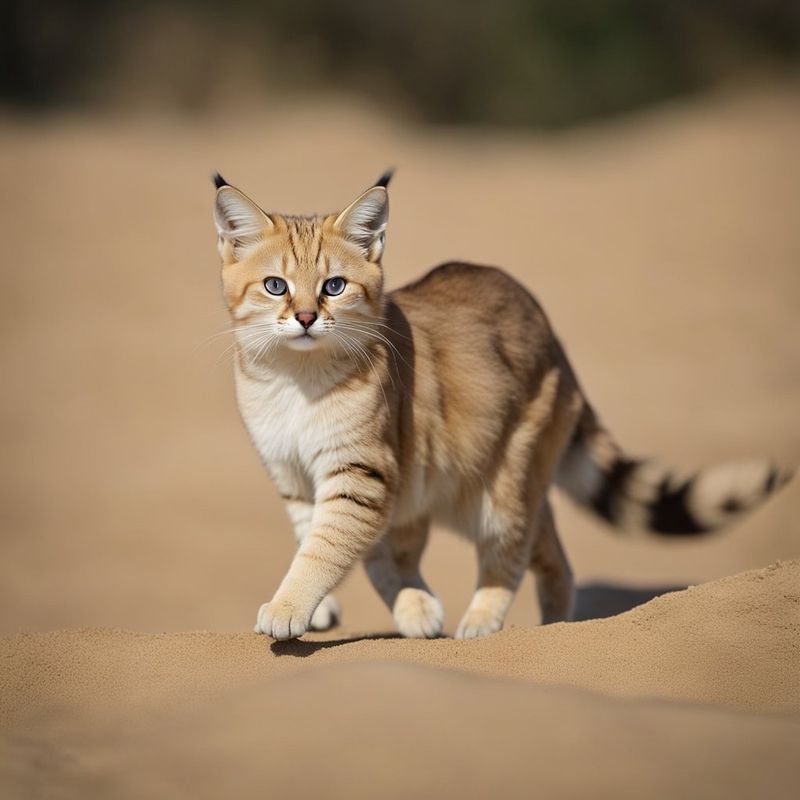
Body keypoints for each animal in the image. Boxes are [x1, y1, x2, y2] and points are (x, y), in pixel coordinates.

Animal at [211, 172, 788, 640]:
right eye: (275, 286)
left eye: (334, 286)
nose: (307, 318)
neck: (296, 379)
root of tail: (547, 326)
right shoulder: (298, 476)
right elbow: (333, 541)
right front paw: (370, 608)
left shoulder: (360, 470)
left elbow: (327, 547)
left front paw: (290, 608)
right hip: (467, 484)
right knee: (549, 548)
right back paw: (548, 624)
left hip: (499, 486)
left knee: (511, 552)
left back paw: (483, 622)